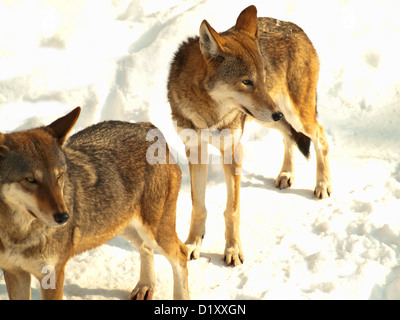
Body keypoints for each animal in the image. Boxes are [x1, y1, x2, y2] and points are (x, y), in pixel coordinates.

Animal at [0, 107, 189, 300]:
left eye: (59, 176)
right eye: (31, 180)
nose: (64, 217)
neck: (19, 235)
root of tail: (148, 126)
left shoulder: (52, 275)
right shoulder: (14, 272)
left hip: (152, 231)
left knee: (181, 253)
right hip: (118, 226)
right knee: (145, 248)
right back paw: (145, 286)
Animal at [167, 5, 332, 266]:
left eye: (262, 79)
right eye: (246, 82)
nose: (276, 112)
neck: (209, 114)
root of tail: (294, 27)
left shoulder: (233, 150)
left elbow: (232, 209)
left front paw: (233, 251)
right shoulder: (195, 151)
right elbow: (198, 206)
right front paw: (192, 244)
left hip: (294, 115)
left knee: (320, 136)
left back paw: (323, 184)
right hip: (269, 119)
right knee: (288, 135)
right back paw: (286, 174)